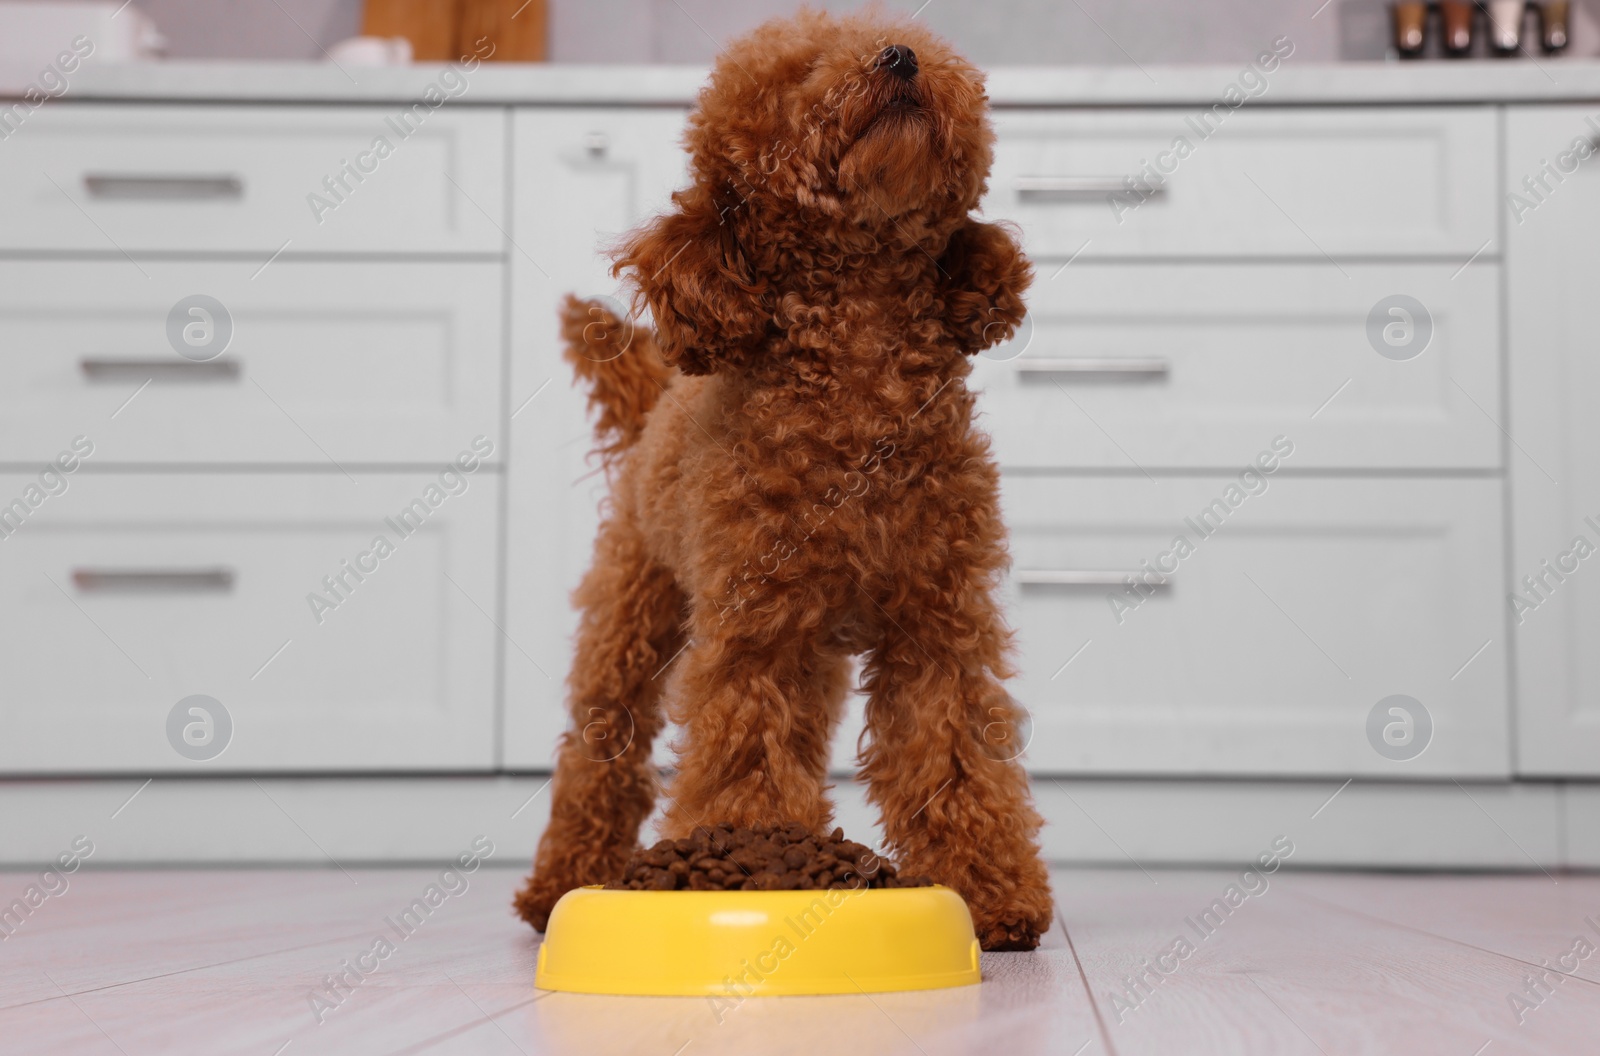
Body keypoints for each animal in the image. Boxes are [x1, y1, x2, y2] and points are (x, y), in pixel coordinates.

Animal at [515, 6, 1062, 947]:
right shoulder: (755, 636)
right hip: (633, 618)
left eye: (900, 38)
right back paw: (557, 885)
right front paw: (754, 868)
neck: (861, 384)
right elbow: (746, 760)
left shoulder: (938, 628)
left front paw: (994, 897)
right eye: (799, 76)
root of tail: (656, 404)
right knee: (601, 750)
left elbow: (956, 760)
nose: (899, 58)